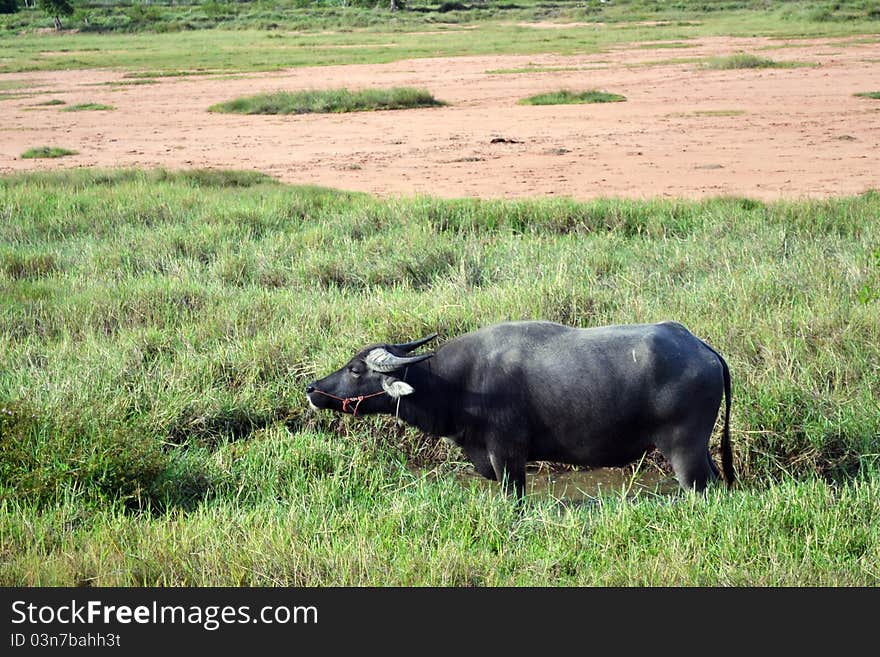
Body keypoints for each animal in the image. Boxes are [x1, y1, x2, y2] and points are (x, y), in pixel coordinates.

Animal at [306, 320, 732, 498]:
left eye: (356, 369)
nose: (312, 389)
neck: (458, 384)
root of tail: (703, 349)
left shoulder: (507, 454)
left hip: (684, 451)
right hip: (701, 449)